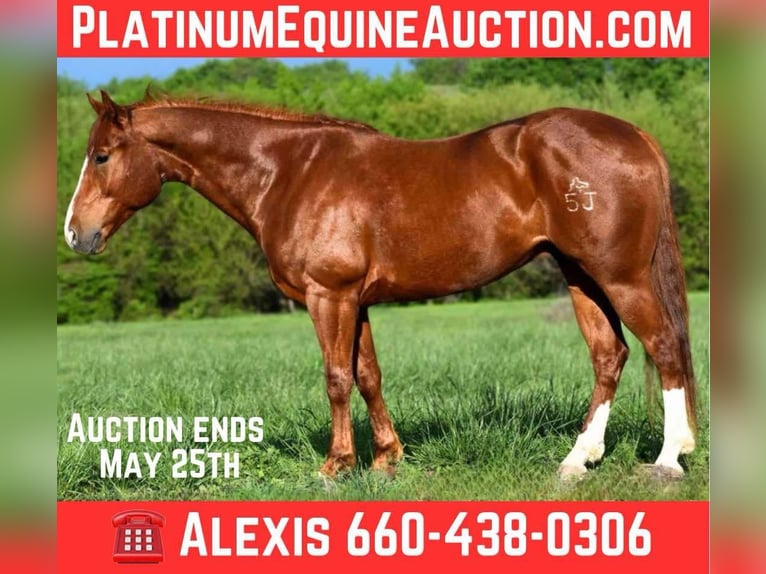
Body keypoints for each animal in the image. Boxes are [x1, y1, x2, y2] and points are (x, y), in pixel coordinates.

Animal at [63, 90, 697, 480]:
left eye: (102, 156)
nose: (75, 233)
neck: (289, 172)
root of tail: (634, 134)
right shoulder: (356, 301)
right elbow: (368, 375)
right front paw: (386, 460)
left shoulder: (329, 296)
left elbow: (337, 378)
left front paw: (335, 466)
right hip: (581, 275)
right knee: (609, 355)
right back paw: (576, 460)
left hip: (621, 277)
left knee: (663, 347)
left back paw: (670, 459)